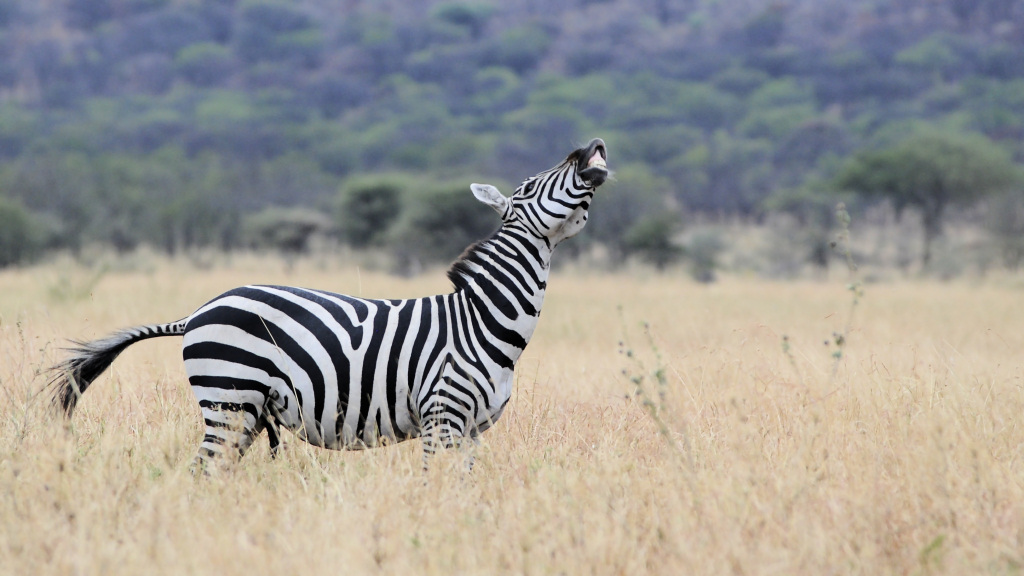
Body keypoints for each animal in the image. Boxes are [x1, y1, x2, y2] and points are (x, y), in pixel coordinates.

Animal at [48, 138, 610, 471]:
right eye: (531, 185)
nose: (592, 145)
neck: (483, 322)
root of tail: (199, 311)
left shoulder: (474, 430)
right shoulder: (442, 417)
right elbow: (436, 487)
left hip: (243, 412)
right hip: (229, 398)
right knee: (204, 470)